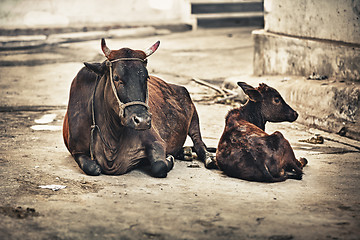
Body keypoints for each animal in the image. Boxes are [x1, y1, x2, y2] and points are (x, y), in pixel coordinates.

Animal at [62, 39, 214, 177]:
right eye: (116, 78)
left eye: (146, 77)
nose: (142, 121)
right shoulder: (76, 150)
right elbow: (92, 168)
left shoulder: (157, 141)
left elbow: (159, 166)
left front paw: (169, 158)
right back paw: (185, 152)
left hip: (193, 117)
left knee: (200, 143)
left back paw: (208, 158)